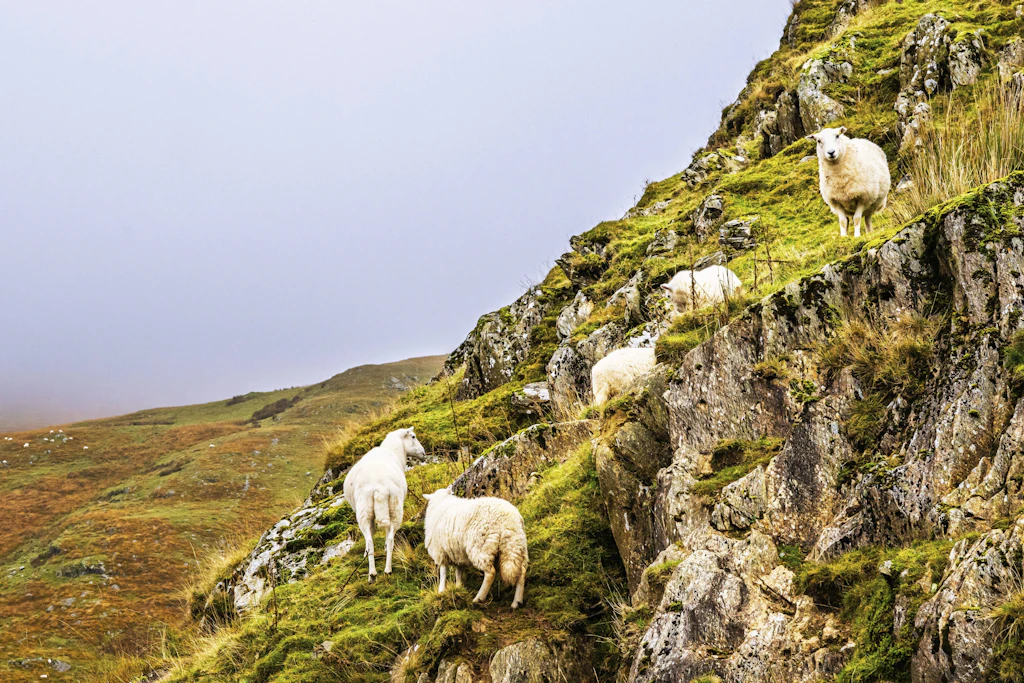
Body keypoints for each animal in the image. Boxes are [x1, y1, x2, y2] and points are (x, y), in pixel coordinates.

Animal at [343, 427, 425, 582]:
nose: (424, 453)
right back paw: (385, 571)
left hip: (365, 511)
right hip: (394, 508)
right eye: (413, 436)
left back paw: (373, 574)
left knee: (371, 540)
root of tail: (380, 487)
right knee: (390, 538)